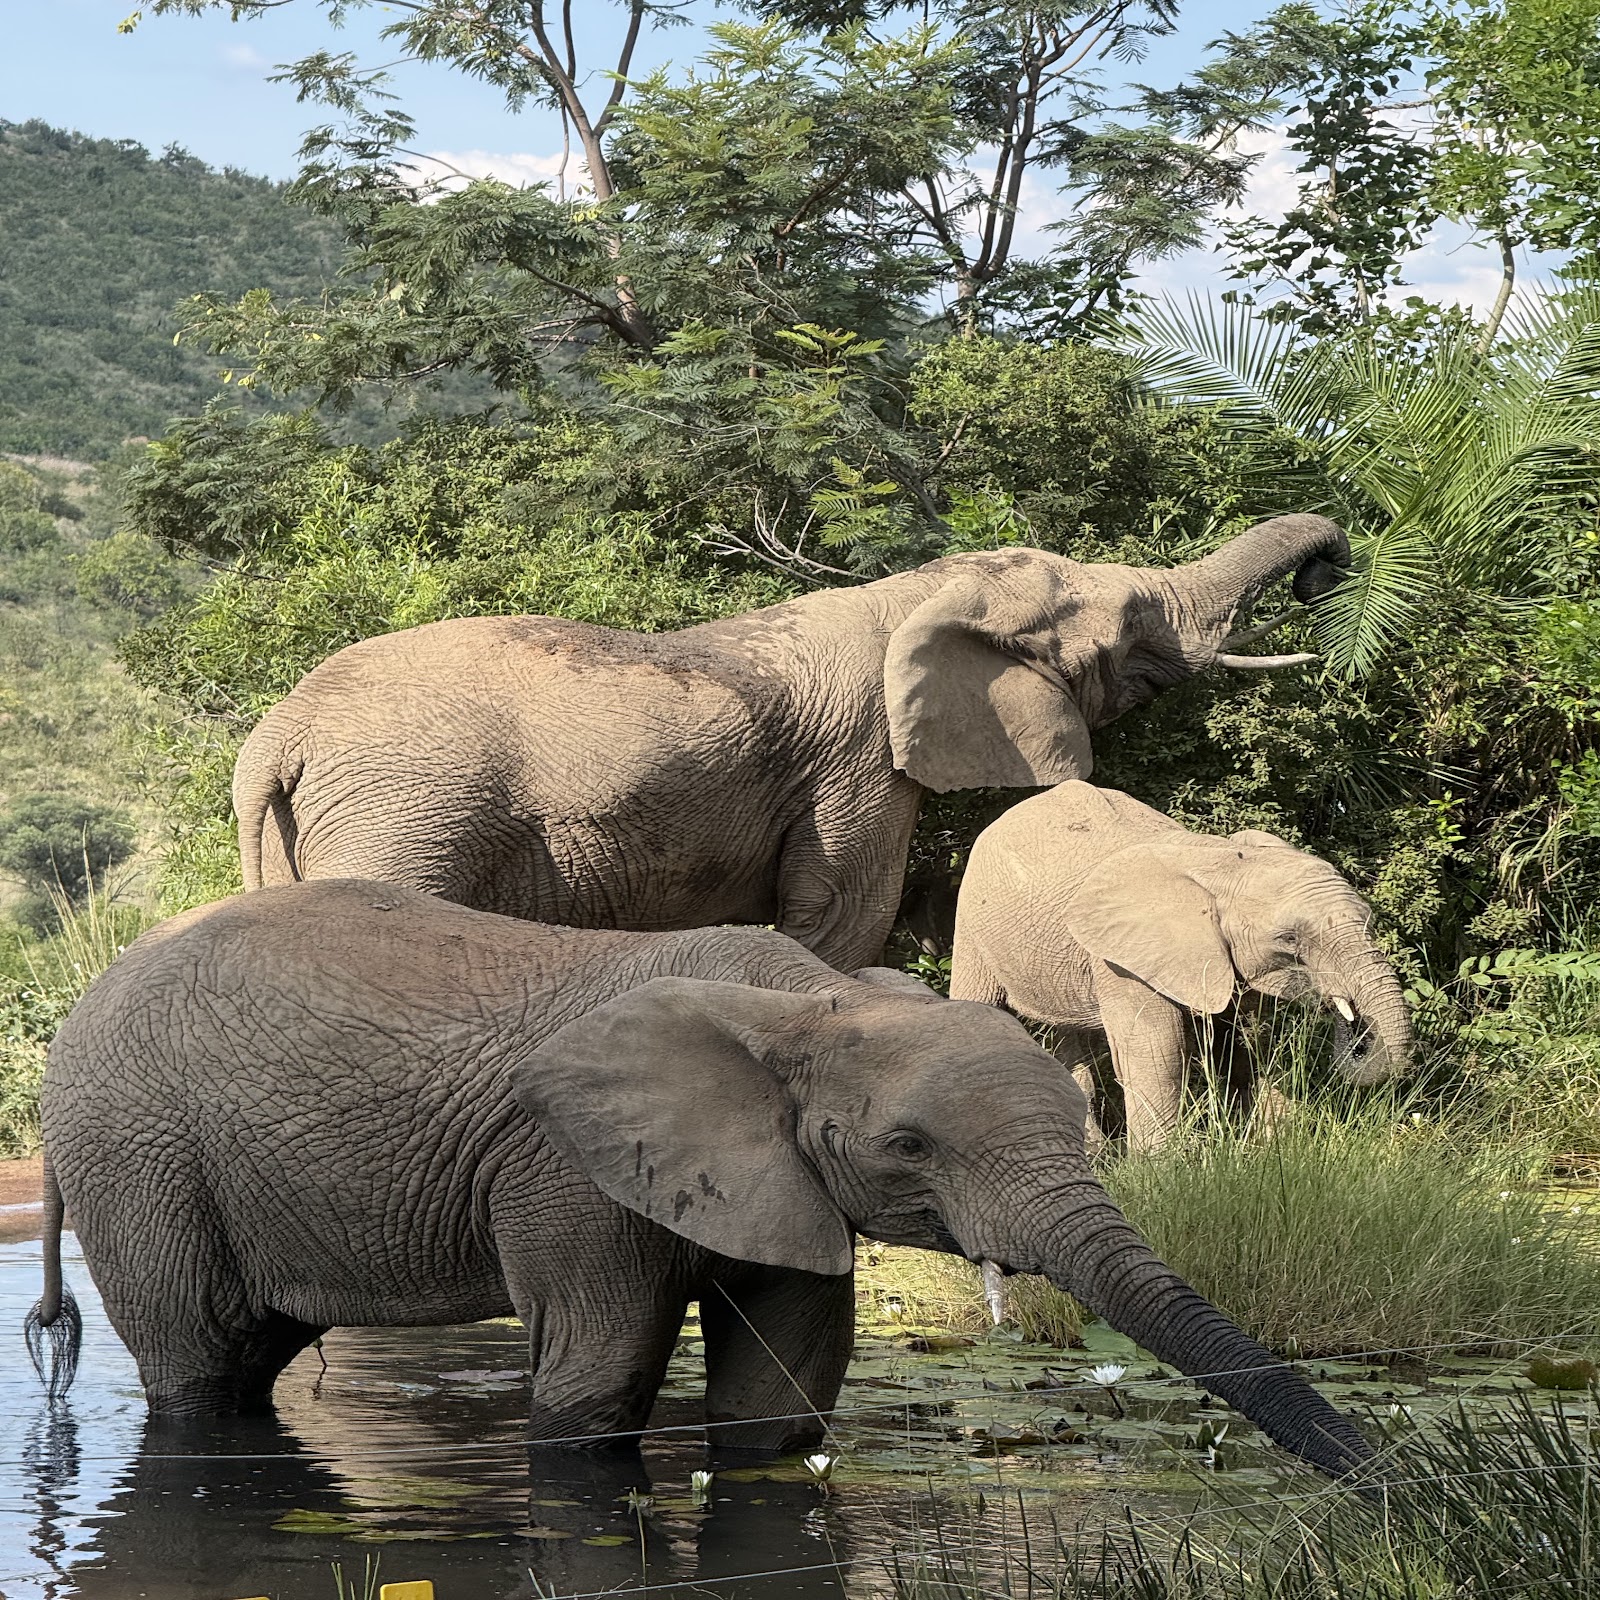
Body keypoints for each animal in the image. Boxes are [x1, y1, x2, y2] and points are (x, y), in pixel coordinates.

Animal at [27, 880, 1370, 1480]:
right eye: (909, 1148)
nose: (1389, 1488)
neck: (810, 1004)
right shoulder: (565, 1168)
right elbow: (599, 1376)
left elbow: (782, 1397)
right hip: (137, 1150)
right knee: (200, 1358)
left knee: (251, 1349)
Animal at [233, 514, 1350, 970]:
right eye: (1128, 623)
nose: (1327, 573)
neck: (917, 593)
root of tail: (274, 738)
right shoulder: (858, 760)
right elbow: (844, 919)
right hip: (402, 816)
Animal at [949, 781, 1413, 1151]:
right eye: (1290, 939)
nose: (1345, 1013)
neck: (1221, 861)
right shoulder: (1123, 959)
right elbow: (1157, 1051)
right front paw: (1163, 1172)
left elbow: (1240, 1044)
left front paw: (1258, 1149)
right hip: (971, 921)